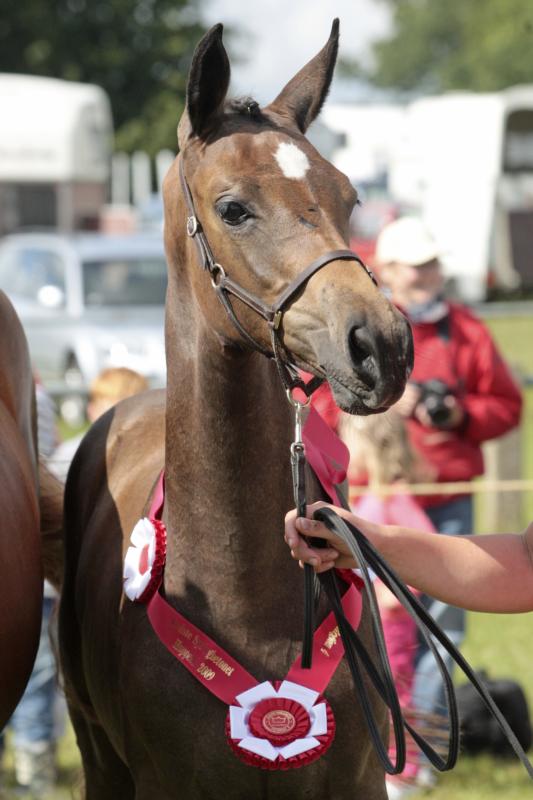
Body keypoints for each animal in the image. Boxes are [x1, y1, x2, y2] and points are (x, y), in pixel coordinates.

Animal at [59, 21, 413, 799]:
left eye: (348, 199)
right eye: (233, 208)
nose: (382, 344)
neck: (246, 604)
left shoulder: (359, 780)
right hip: (98, 759)